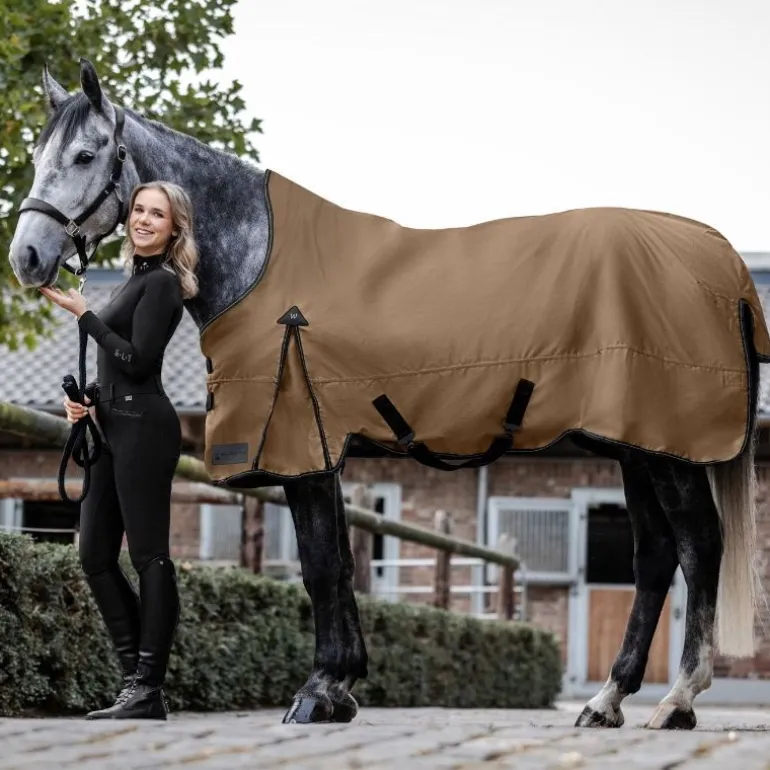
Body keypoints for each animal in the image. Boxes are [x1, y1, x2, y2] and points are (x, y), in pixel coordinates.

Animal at [9, 57, 769, 729]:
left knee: (699, 546)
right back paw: (607, 701)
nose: (27, 257)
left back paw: (676, 701)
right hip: (637, 445)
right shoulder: (323, 448)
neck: (259, 259)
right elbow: (342, 562)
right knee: (656, 557)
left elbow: (320, 564)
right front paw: (342, 687)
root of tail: (722, 262)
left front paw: (318, 691)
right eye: (38, 153)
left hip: (666, 449)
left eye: (84, 155)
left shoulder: (301, 445)